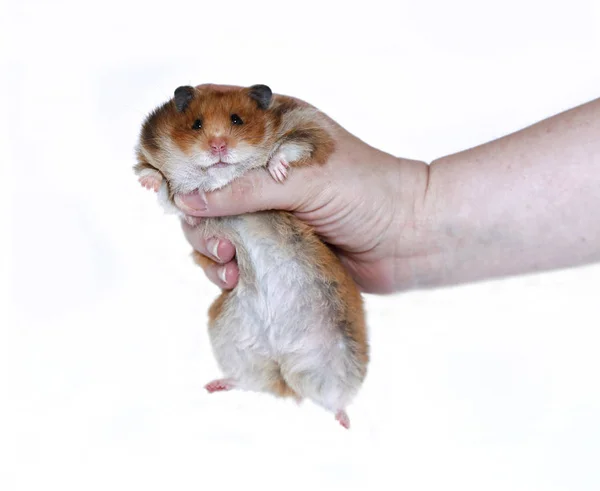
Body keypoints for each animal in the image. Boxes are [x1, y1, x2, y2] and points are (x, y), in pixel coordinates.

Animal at [134, 84, 368, 430]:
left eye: (237, 119)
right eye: (196, 124)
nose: (218, 146)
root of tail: (282, 369)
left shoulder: (310, 128)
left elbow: (291, 145)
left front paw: (277, 171)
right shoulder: (177, 194)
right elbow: (166, 188)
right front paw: (148, 180)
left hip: (342, 358)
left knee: (334, 398)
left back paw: (346, 423)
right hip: (231, 341)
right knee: (249, 381)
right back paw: (214, 386)